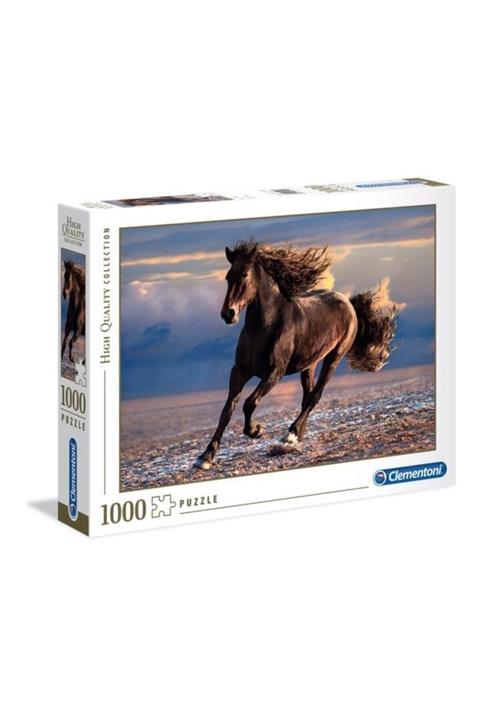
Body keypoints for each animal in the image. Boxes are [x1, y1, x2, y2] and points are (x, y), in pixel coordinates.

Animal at [194, 240, 397, 470]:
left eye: (244, 274)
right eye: (228, 276)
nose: (228, 314)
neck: (263, 328)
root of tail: (348, 302)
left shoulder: (275, 372)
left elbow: (249, 403)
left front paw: (256, 430)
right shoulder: (239, 372)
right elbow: (226, 411)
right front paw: (205, 457)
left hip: (333, 358)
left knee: (315, 396)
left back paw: (289, 435)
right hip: (309, 364)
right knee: (307, 396)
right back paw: (296, 436)